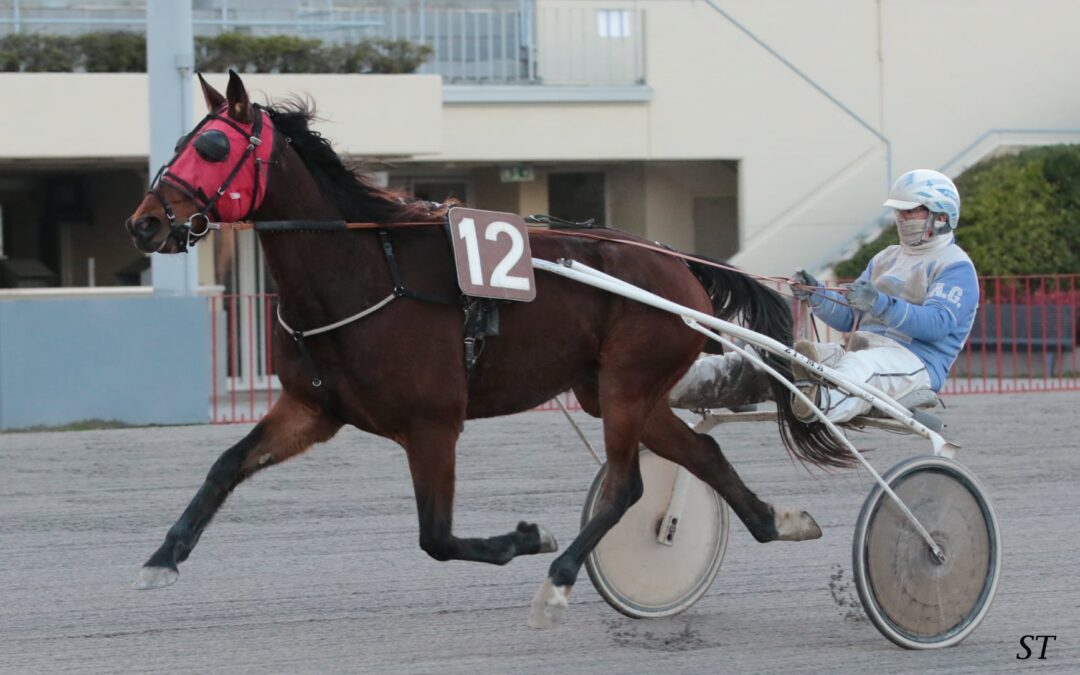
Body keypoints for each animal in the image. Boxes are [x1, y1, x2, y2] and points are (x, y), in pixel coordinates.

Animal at [124, 72, 851, 626]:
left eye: (213, 145)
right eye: (181, 142)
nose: (145, 222)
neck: (363, 271)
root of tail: (678, 261)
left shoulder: (432, 424)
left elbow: (436, 537)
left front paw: (527, 538)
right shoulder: (313, 409)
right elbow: (225, 464)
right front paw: (162, 558)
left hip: (626, 382)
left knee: (627, 484)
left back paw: (558, 579)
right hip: (620, 391)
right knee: (702, 453)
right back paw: (778, 520)